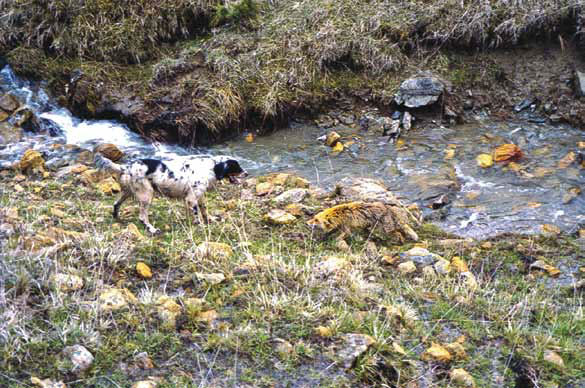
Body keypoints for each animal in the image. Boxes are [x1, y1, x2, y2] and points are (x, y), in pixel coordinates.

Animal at [96, 154, 246, 233]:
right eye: (236, 166)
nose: (247, 173)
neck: (210, 168)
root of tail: (126, 167)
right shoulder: (191, 199)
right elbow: (197, 215)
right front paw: (200, 226)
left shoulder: (199, 197)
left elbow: (204, 211)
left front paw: (210, 220)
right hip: (146, 195)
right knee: (142, 217)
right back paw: (152, 229)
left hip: (127, 192)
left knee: (116, 204)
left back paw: (117, 218)